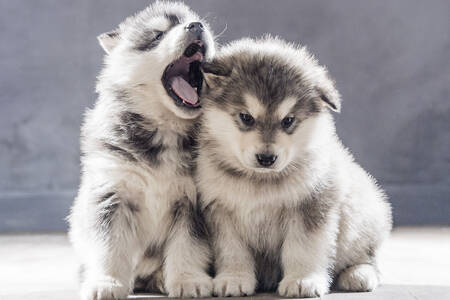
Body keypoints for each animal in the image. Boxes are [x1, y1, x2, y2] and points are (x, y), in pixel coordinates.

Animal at [68, 1, 216, 298]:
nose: (197, 25)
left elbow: (188, 246)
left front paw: (187, 279)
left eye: (195, 21)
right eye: (158, 35)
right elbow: (110, 248)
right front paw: (107, 282)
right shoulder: (112, 194)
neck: (165, 128)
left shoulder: (193, 202)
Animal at [196, 37, 390, 298]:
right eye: (246, 117)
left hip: (360, 219)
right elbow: (232, 250)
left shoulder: (312, 204)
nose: (266, 158)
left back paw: (358, 274)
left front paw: (302, 280)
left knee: (368, 257)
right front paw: (233, 278)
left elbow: (303, 248)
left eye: (288, 120)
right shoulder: (219, 211)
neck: (259, 181)